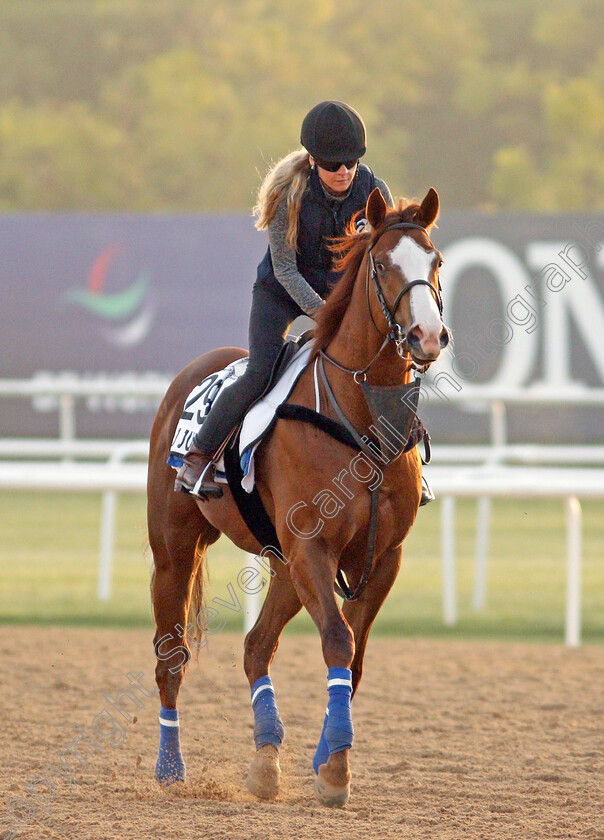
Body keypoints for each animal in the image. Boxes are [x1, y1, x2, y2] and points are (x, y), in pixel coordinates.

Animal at [146, 185, 448, 808]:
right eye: (383, 264)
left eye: (436, 262)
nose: (427, 338)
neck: (360, 422)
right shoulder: (313, 547)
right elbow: (336, 639)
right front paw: (335, 772)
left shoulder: (381, 558)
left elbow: (355, 657)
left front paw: (325, 758)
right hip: (175, 548)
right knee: (171, 656)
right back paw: (170, 768)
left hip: (283, 563)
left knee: (256, 647)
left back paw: (265, 761)